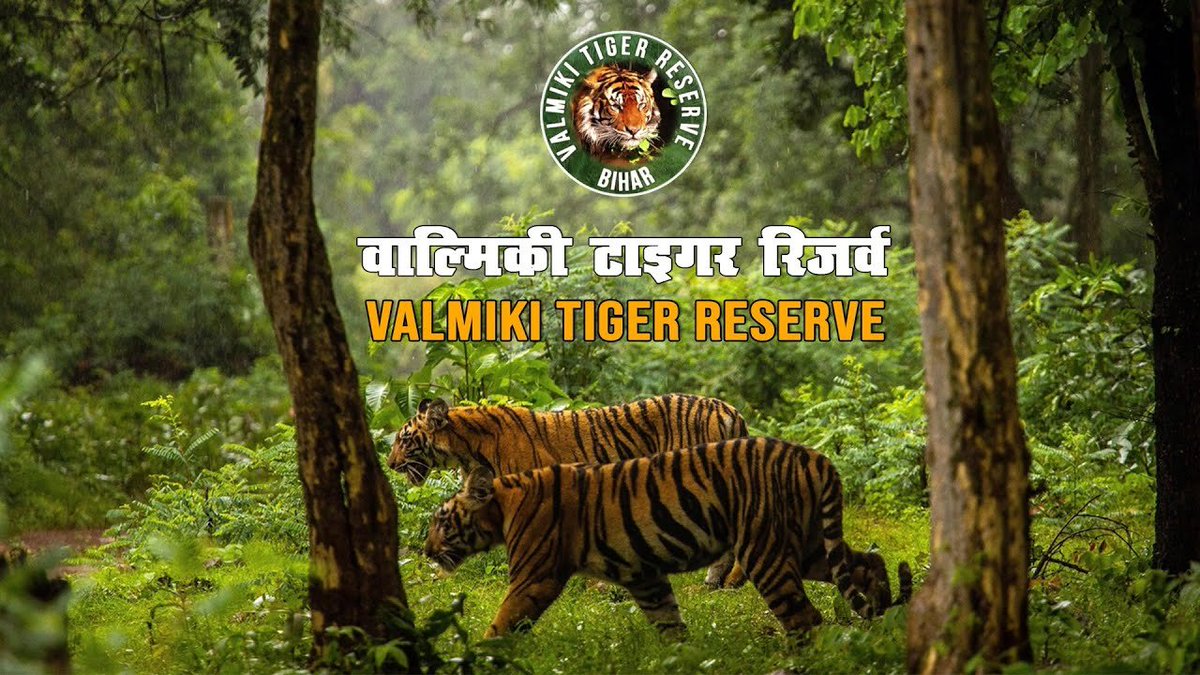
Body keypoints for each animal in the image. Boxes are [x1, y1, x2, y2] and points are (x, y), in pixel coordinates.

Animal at [424, 437, 913, 639]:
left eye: (441, 521)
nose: (425, 550)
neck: (504, 506)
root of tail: (815, 457)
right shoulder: (644, 575)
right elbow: (669, 623)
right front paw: (685, 657)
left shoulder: (533, 578)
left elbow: (501, 623)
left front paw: (478, 655)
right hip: (808, 544)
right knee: (866, 562)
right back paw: (883, 606)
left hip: (765, 550)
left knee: (806, 620)